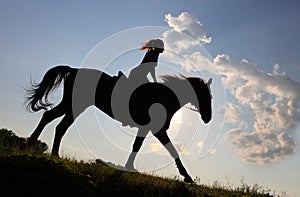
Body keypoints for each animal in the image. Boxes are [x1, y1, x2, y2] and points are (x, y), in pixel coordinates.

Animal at [24, 65, 212, 182]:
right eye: (205, 96)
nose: (208, 118)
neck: (164, 98)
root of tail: (73, 70)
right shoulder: (158, 130)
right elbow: (172, 151)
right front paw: (187, 177)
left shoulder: (146, 128)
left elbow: (137, 145)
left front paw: (129, 167)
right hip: (75, 105)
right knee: (55, 122)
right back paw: (41, 147)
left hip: (72, 106)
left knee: (53, 120)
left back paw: (42, 148)